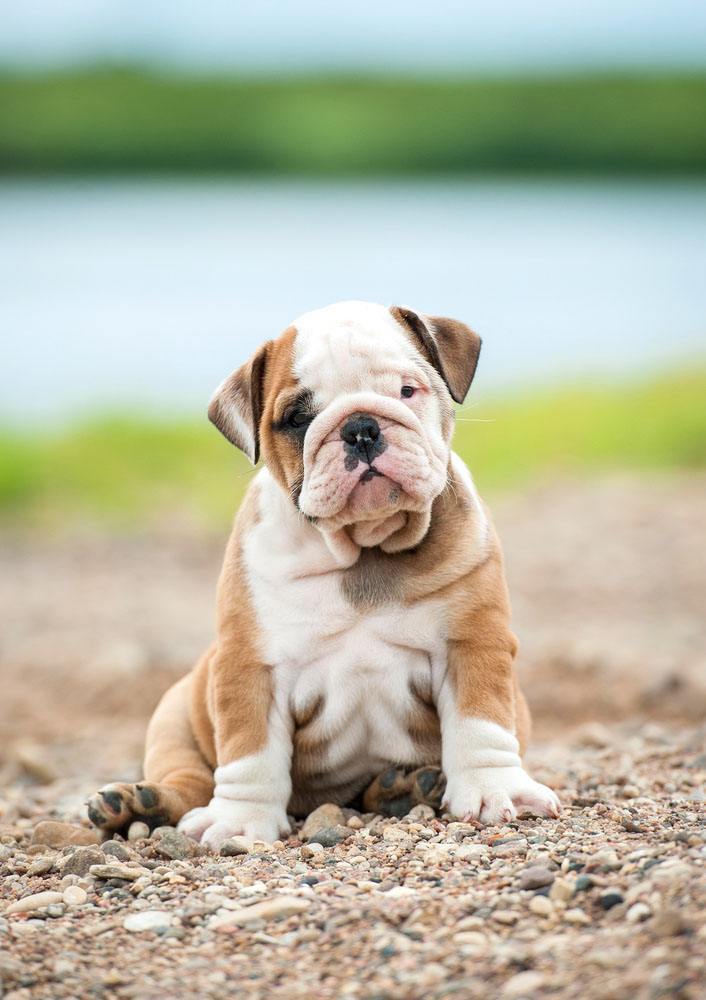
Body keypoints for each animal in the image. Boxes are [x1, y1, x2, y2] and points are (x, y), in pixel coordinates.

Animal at [88, 300, 560, 848]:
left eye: (406, 390)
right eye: (297, 418)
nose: (360, 427)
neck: (364, 547)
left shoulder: (473, 643)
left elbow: (481, 724)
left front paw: (493, 790)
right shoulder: (251, 666)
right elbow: (250, 752)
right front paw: (240, 820)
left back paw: (405, 788)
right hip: (174, 717)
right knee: (189, 778)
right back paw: (137, 804)